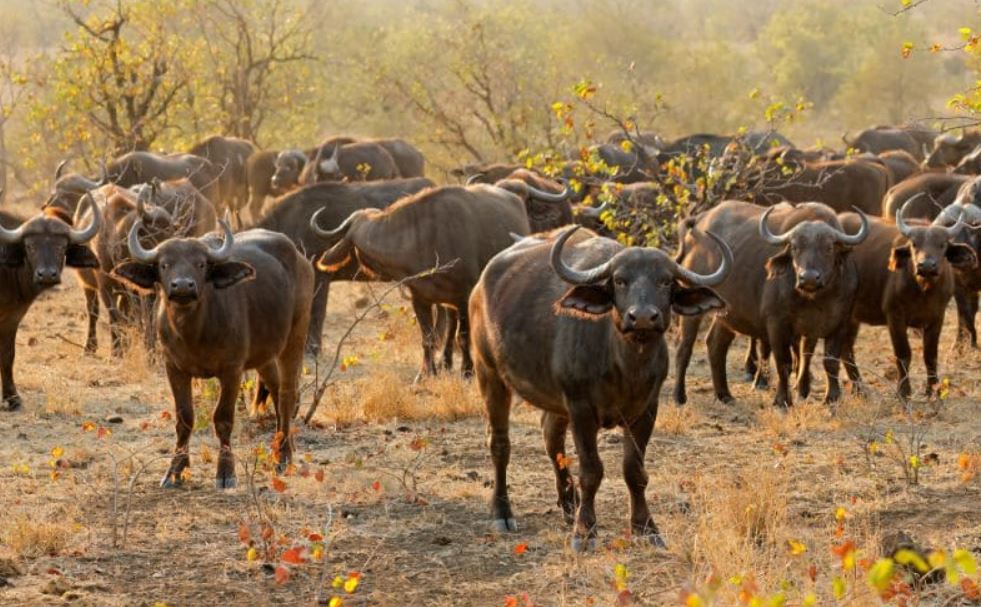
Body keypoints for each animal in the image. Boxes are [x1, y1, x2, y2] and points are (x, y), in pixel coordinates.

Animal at [0, 197, 102, 410]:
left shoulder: (12, 317)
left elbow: (7, 355)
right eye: (30, 247)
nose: (47, 274)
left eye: (61, 247)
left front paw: (12, 398)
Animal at [112, 219, 314, 488]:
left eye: (201, 264)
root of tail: (301, 260)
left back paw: (284, 456)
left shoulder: (232, 370)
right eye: (164, 264)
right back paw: (281, 448)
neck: (193, 333)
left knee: (287, 395)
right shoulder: (173, 368)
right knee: (275, 388)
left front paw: (226, 472)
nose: (183, 286)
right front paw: (175, 471)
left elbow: (223, 419)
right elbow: (184, 418)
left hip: (296, 336)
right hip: (265, 353)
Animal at [469, 226, 730, 550]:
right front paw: (585, 532)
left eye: (665, 280)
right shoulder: (581, 408)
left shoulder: (646, 410)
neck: (625, 365)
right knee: (499, 443)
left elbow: (634, 471)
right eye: (619, 280)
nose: (642, 317)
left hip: (555, 400)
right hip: (489, 373)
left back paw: (569, 505)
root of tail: (480, 286)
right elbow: (592, 471)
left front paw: (646, 527)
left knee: (551, 437)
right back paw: (503, 512)